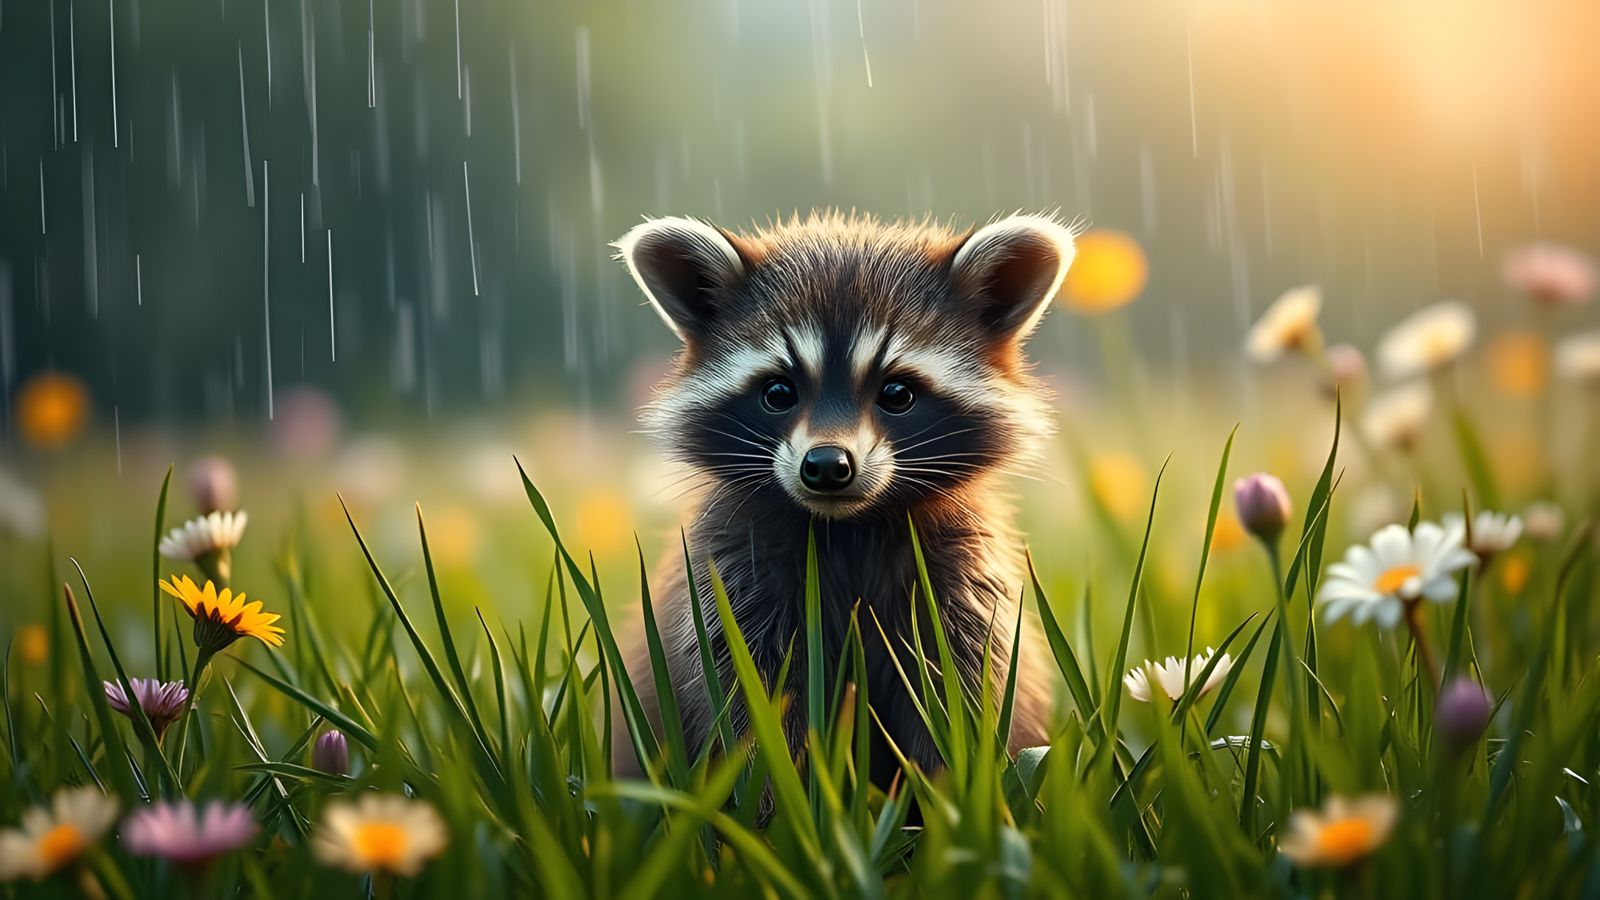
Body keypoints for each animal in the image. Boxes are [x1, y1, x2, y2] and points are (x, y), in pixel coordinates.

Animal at [613, 211, 1076, 782]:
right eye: (778, 392)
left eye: (897, 393)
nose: (827, 466)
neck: (851, 524)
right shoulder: (732, 581)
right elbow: (751, 701)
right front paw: (781, 795)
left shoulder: (960, 579)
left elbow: (958, 694)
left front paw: (948, 794)